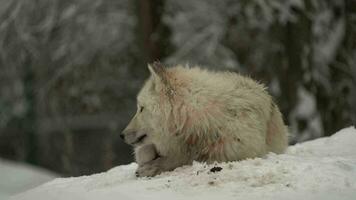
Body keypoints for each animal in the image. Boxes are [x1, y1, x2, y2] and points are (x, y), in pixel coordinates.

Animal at [121, 62, 288, 177]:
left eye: (141, 108)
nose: (121, 135)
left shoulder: (240, 148)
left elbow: (187, 157)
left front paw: (153, 167)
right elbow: (145, 151)